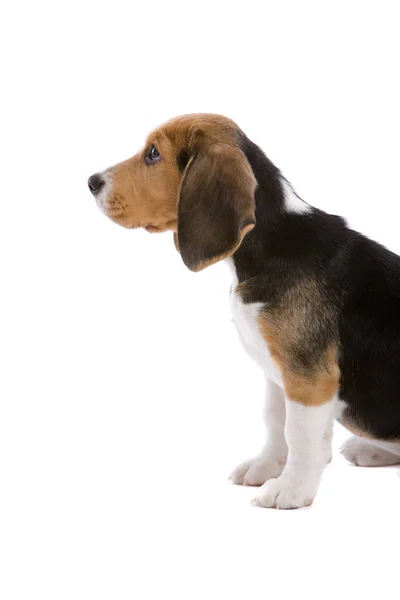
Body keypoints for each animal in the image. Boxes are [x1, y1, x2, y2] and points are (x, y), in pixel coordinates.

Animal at [89, 112, 400, 506]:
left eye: (153, 154)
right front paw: (267, 467)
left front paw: (291, 489)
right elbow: (275, 420)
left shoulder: (307, 376)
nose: (91, 182)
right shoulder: (277, 373)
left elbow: (299, 432)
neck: (266, 244)